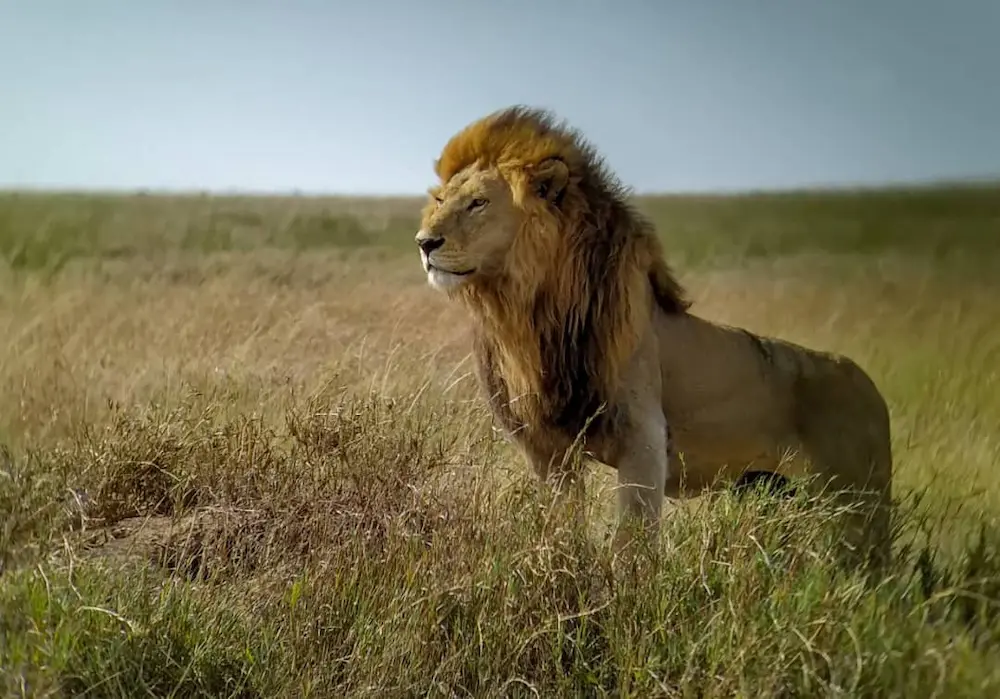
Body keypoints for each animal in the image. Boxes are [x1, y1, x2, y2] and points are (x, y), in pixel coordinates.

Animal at [414, 105, 893, 569]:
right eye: (439, 200)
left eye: (478, 203)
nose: (424, 242)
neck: (528, 317)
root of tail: (869, 385)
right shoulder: (548, 451)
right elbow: (562, 529)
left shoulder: (643, 438)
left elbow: (632, 542)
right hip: (774, 491)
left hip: (858, 503)